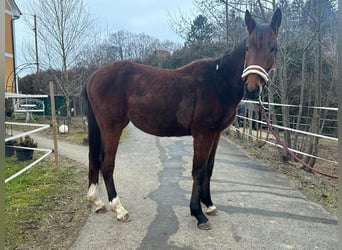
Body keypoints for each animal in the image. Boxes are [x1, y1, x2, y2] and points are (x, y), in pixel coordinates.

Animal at [83, 8, 280, 230]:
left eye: (273, 48)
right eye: (248, 47)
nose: (252, 88)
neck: (218, 80)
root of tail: (93, 77)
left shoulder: (216, 134)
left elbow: (209, 168)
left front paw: (209, 205)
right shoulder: (203, 134)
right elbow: (198, 170)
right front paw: (198, 214)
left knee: (94, 159)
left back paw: (97, 202)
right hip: (112, 127)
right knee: (106, 163)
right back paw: (119, 209)